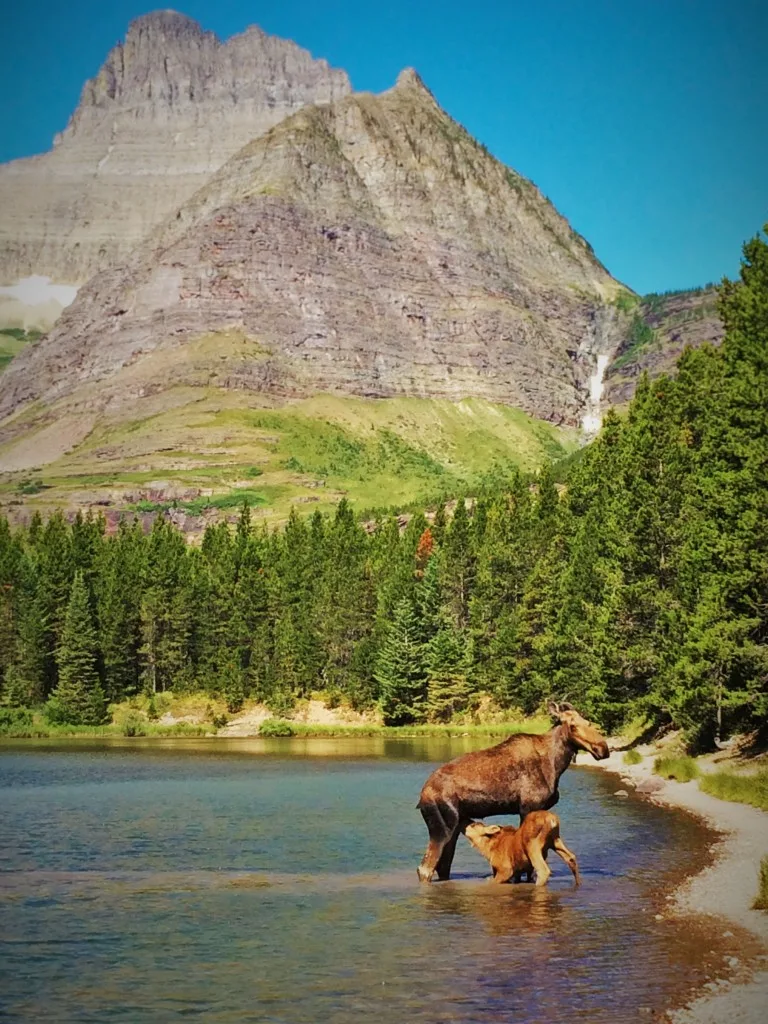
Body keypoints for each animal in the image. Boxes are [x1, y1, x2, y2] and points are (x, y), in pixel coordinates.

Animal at [417, 700, 610, 884]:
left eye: (588, 722)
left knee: (443, 866)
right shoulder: (527, 807)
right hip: (443, 827)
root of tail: (422, 796)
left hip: (455, 826)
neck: (556, 764)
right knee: (425, 868)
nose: (603, 749)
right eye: (573, 726)